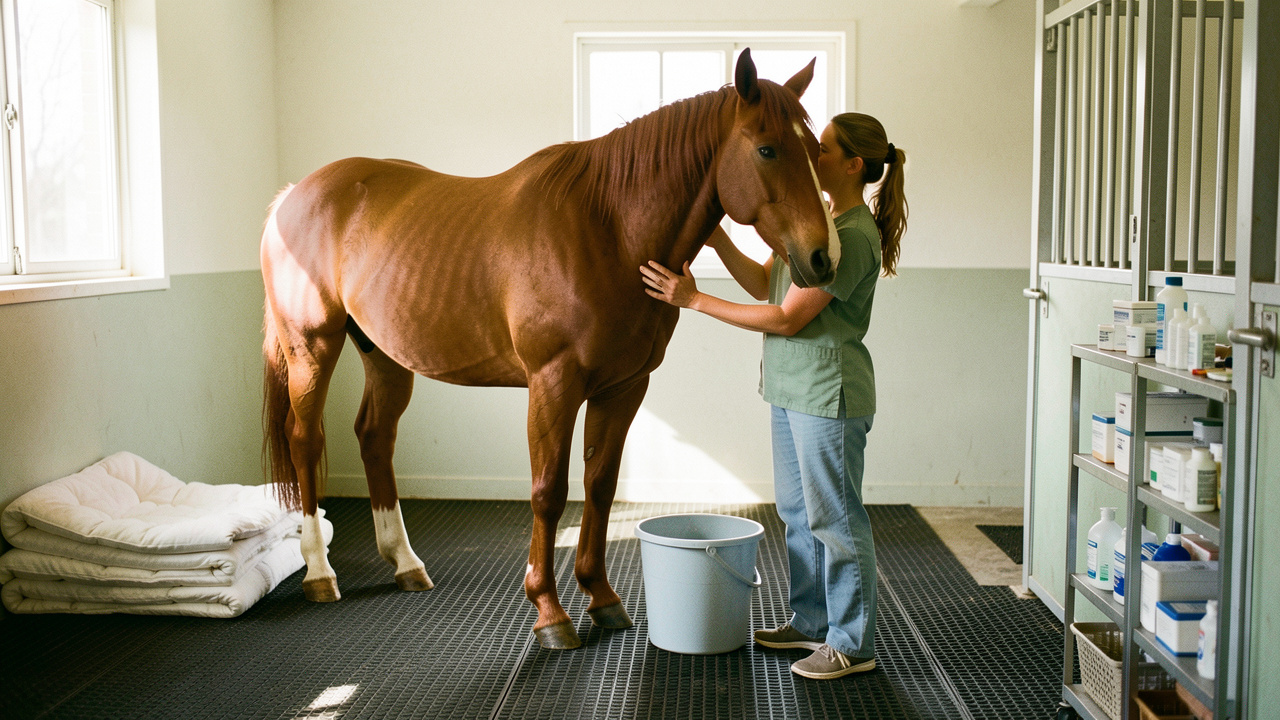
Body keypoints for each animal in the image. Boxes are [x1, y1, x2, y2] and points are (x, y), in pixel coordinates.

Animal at [260, 48, 839, 650]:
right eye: (767, 149)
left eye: (817, 151)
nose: (824, 259)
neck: (608, 231)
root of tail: (291, 197)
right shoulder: (553, 383)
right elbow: (548, 492)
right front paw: (550, 612)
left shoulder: (624, 387)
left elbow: (600, 486)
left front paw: (602, 598)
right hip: (312, 347)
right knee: (305, 440)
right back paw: (319, 571)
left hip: (384, 355)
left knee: (375, 437)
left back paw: (405, 563)